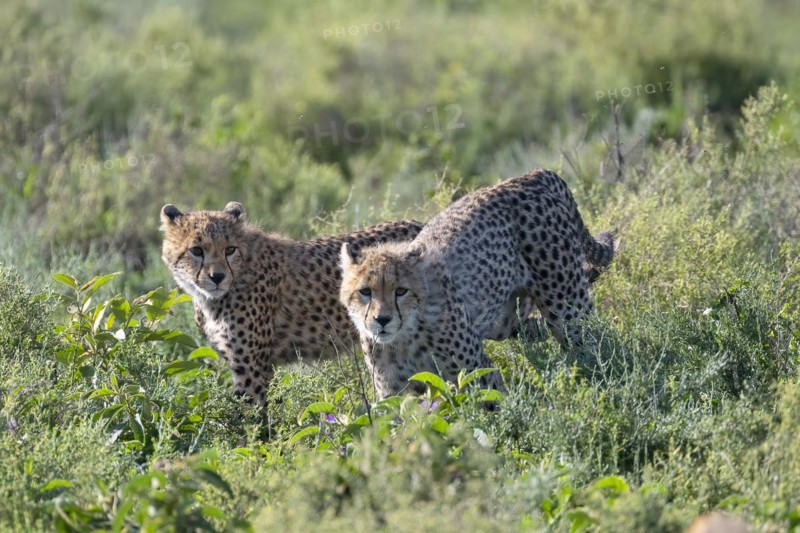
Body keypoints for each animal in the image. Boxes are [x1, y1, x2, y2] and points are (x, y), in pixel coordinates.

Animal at [340, 169, 615, 399]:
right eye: (365, 292)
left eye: (401, 291)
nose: (382, 320)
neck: (403, 338)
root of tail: (531, 175)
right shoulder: (393, 392)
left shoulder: (476, 373)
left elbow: (497, 411)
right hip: (504, 319)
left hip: (568, 310)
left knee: (596, 345)